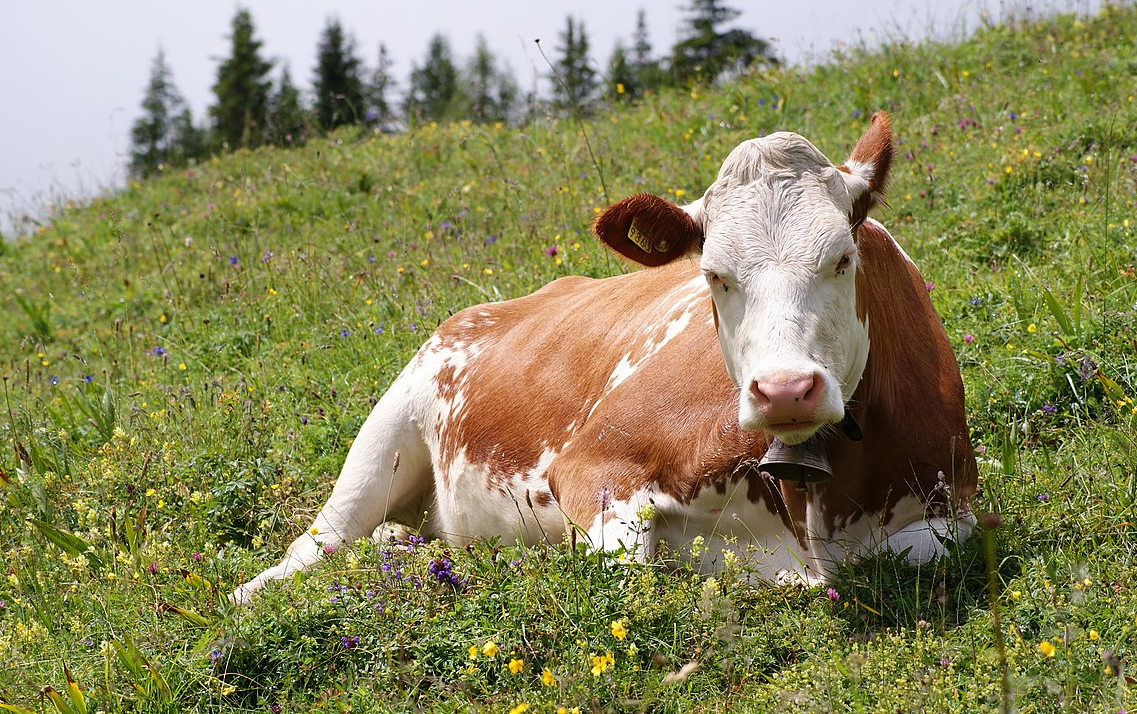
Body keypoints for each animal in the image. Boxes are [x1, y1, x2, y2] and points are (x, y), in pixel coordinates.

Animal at [230, 111, 977, 600]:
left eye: (842, 258)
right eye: (713, 275)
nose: (785, 390)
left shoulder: (957, 508)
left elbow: (927, 548)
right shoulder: (592, 464)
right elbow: (630, 565)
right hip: (387, 431)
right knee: (314, 546)